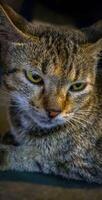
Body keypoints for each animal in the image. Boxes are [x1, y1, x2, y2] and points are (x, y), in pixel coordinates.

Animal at [0, 1, 102, 184]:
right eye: (34, 77)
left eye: (77, 86)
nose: (54, 112)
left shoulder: (84, 162)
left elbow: (37, 155)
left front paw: (7, 153)